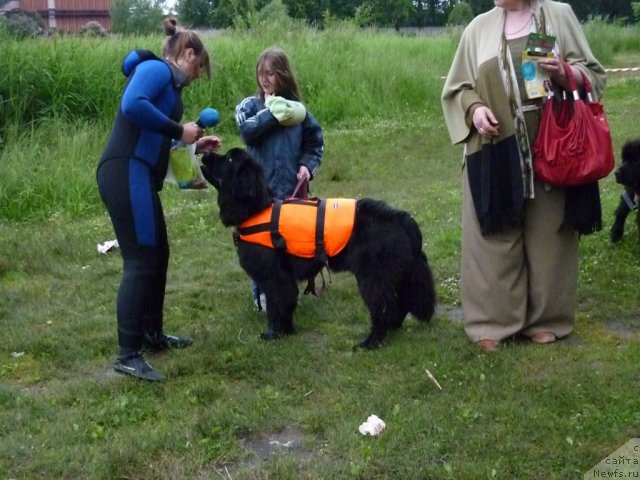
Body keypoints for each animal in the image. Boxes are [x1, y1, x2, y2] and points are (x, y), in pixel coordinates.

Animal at [202, 148, 438, 346]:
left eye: (228, 159)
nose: (204, 152)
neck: (256, 210)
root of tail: (402, 218)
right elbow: (286, 304)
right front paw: (287, 331)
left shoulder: (275, 278)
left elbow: (277, 307)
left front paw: (273, 334)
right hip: (397, 274)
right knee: (401, 303)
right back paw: (393, 328)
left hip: (374, 277)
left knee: (384, 307)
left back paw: (372, 342)